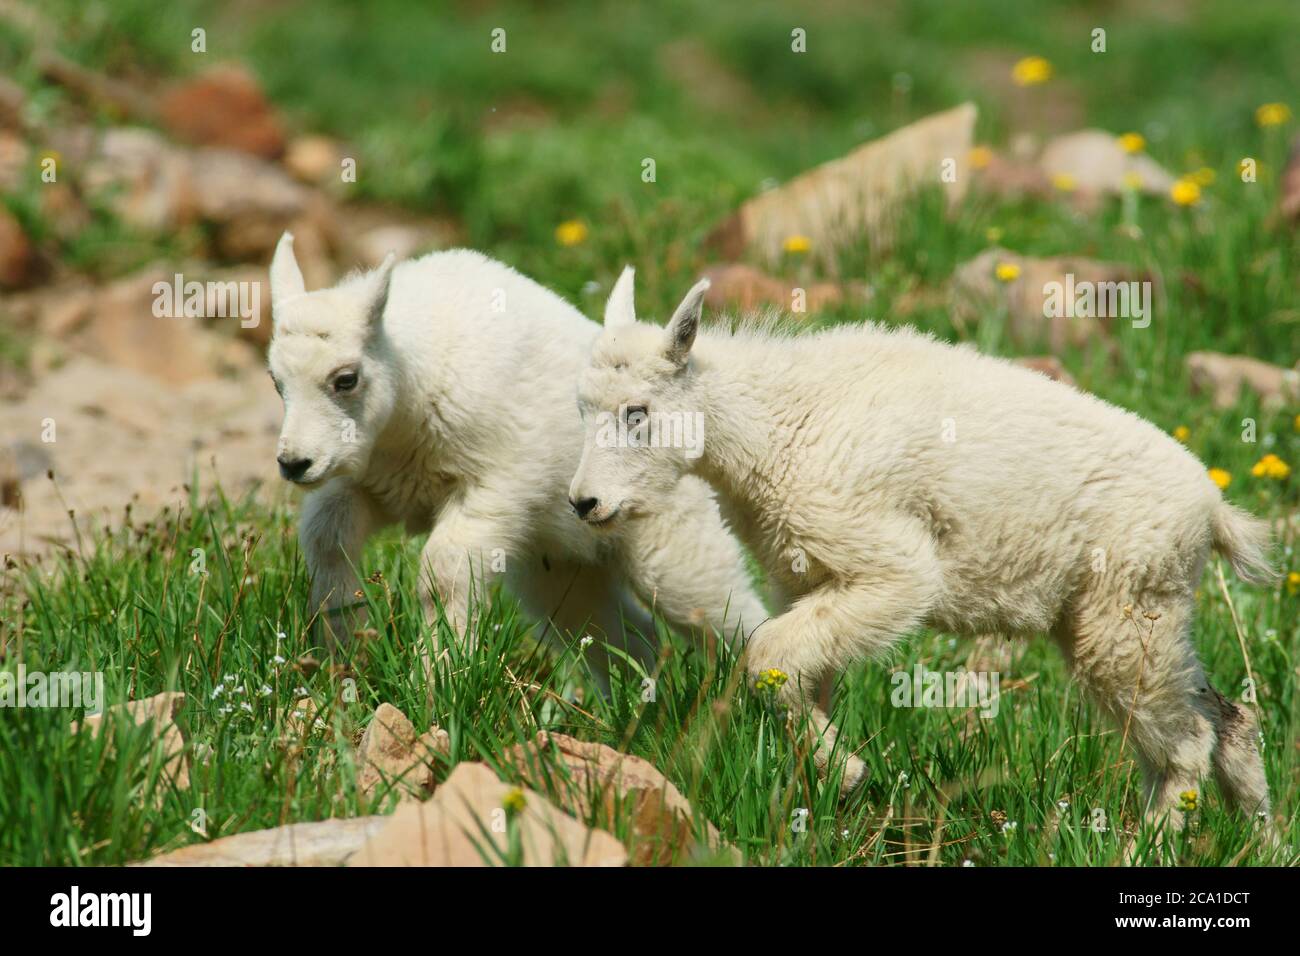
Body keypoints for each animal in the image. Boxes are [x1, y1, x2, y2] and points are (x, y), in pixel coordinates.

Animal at [574, 265, 1274, 832]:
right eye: (581, 410)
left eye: (637, 412)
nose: (585, 504)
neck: (773, 426)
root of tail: (1211, 511)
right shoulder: (808, 578)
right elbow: (799, 676)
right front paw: (825, 791)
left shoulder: (891, 568)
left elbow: (766, 657)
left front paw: (847, 773)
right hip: (1145, 614)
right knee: (1227, 716)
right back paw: (1259, 836)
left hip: (1125, 610)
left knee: (1187, 740)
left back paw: (1148, 844)